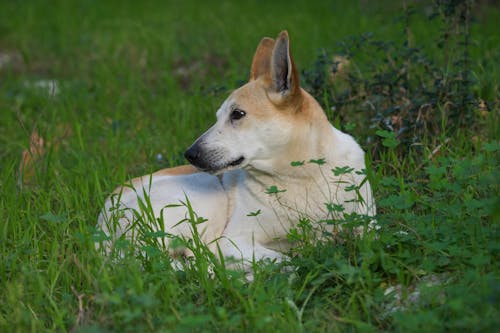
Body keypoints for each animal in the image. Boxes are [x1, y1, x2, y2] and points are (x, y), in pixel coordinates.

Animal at [96, 30, 376, 270]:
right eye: (219, 116)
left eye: (237, 114)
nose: (190, 154)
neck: (302, 176)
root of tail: (102, 226)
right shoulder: (233, 242)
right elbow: (286, 260)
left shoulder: (368, 225)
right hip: (206, 198)